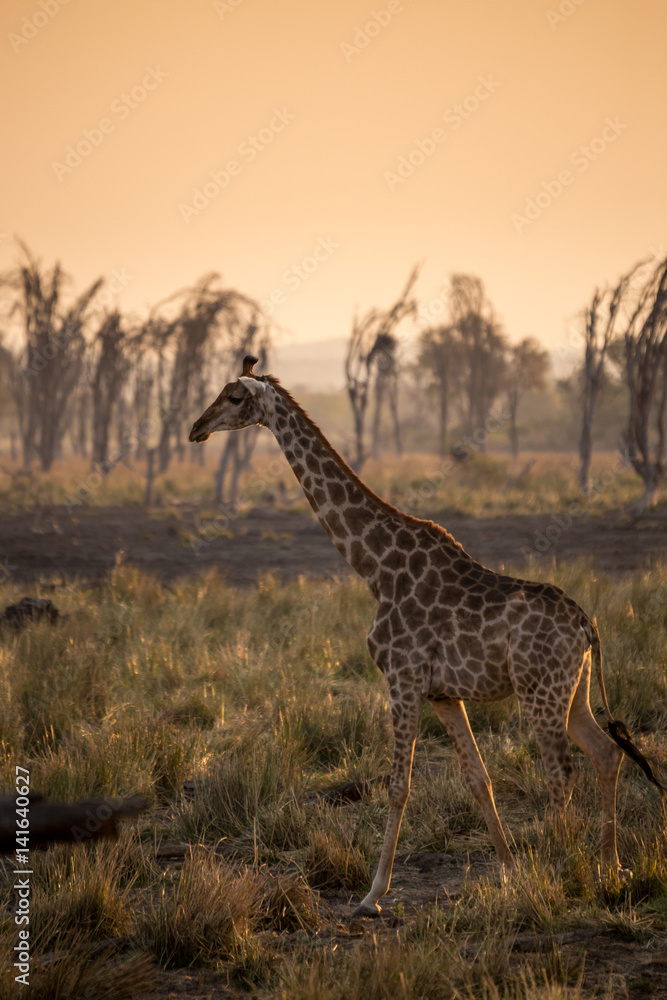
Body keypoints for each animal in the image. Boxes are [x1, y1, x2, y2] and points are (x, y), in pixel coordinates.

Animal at [189, 356, 666, 917]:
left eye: (234, 397)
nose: (196, 428)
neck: (375, 567)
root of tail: (588, 627)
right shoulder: (442, 693)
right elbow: (478, 778)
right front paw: (511, 871)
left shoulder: (402, 678)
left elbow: (399, 785)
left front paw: (372, 894)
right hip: (575, 691)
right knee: (606, 753)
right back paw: (611, 868)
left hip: (540, 692)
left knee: (561, 773)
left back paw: (565, 872)